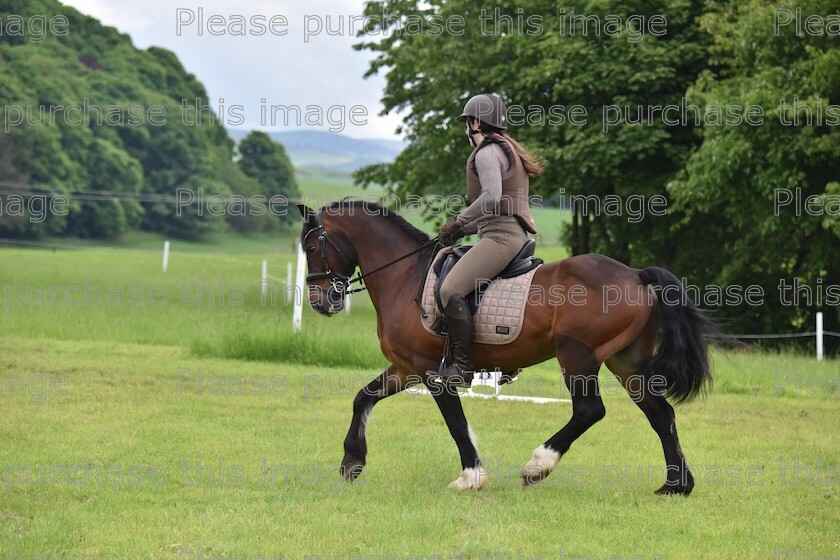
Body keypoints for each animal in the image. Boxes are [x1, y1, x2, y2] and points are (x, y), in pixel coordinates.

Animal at [298, 200, 720, 494]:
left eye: (312, 247)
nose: (321, 302)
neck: (403, 277)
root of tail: (636, 274)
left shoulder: (432, 371)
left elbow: (456, 424)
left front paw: (470, 477)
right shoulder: (405, 368)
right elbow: (363, 397)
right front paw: (352, 461)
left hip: (577, 356)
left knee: (590, 411)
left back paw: (538, 466)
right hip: (626, 363)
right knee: (660, 414)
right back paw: (676, 485)